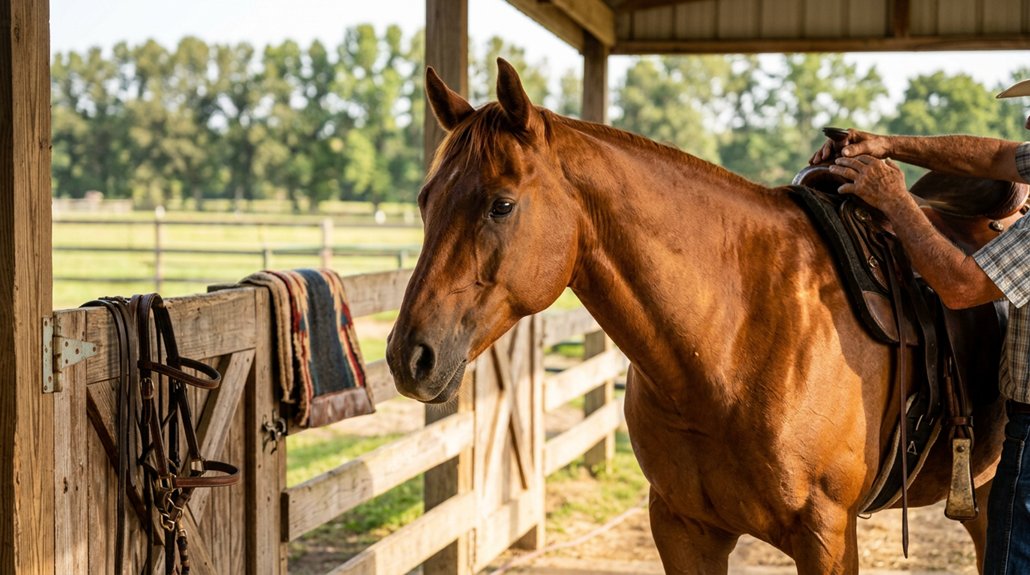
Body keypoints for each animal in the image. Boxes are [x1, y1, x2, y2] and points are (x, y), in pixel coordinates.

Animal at [385, 58, 1005, 574]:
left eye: (502, 204)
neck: (734, 337)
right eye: (424, 200)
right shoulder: (683, 529)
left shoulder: (826, 537)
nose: (408, 356)